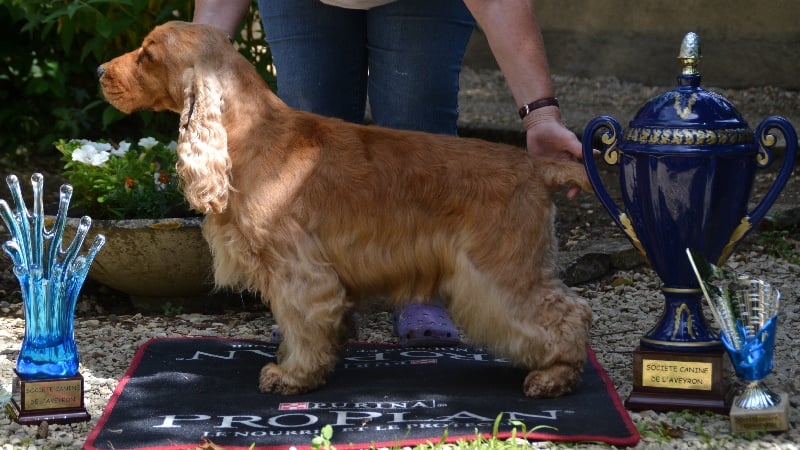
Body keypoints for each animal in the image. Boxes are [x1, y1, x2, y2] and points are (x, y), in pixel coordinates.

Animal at [98, 21, 593, 398]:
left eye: (147, 55)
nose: (100, 69)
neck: (250, 137)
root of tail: (535, 165)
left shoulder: (298, 267)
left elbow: (302, 322)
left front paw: (292, 375)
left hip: (498, 269)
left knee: (567, 312)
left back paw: (554, 376)